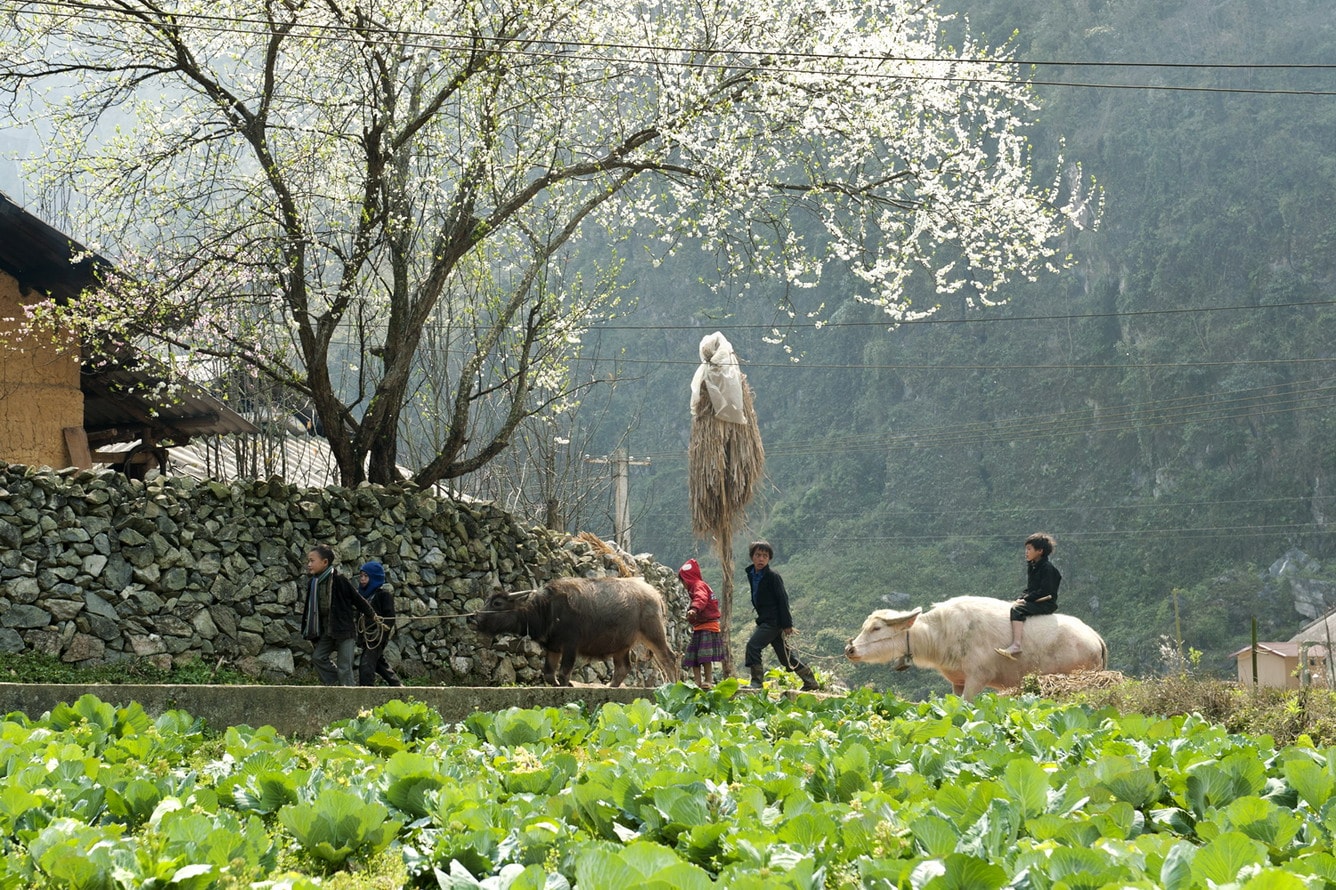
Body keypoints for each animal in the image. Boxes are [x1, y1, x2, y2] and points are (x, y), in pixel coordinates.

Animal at [467, 574, 678, 684]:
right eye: (487, 600)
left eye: (497, 603)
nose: (473, 619)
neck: (547, 609)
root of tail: (655, 594)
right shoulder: (553, 647)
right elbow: (549, 674)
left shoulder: (570, 646)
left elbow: (563, 673)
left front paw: (566, 685)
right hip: (622, 646)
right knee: (623, 668)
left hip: (654, 634)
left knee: (669, 658)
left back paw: (674, 685)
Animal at [844, 593, 1106, 694]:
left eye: (876, 628)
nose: (850, 649)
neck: (942, 632)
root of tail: (1095, 638)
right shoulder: (958, 682)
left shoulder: (977, 679)